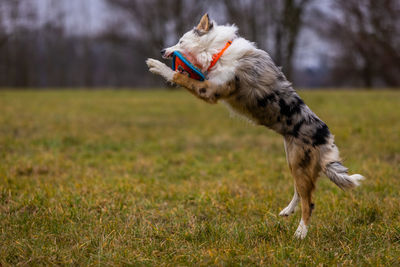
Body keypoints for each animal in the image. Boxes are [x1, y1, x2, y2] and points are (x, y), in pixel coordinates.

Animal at [145, 13, 364, 240]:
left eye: (181, 41)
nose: (162, 50)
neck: (218, 51)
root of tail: (326, 137)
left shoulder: (210, 90)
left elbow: (179, 76)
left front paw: (156, 65)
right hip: (294, 161)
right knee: (300, 191)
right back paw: (287, 210)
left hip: (300, 163)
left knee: (309, 202)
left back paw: (300, 233)